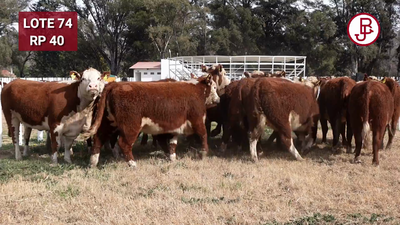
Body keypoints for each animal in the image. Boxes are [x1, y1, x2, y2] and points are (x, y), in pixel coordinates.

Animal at [81, 74, 219, 167]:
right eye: (214, 87)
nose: (218, 100)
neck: (197, 91)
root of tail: (114, 84)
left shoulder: (174, 126)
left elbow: (172, 143)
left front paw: (172, 157)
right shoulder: (197, 120)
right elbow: (203, 135)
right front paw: (204, 153)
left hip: (108, 123)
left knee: (98, 139)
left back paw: (93, 162)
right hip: (130, 126)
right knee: (123, 143)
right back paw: (132, 163)